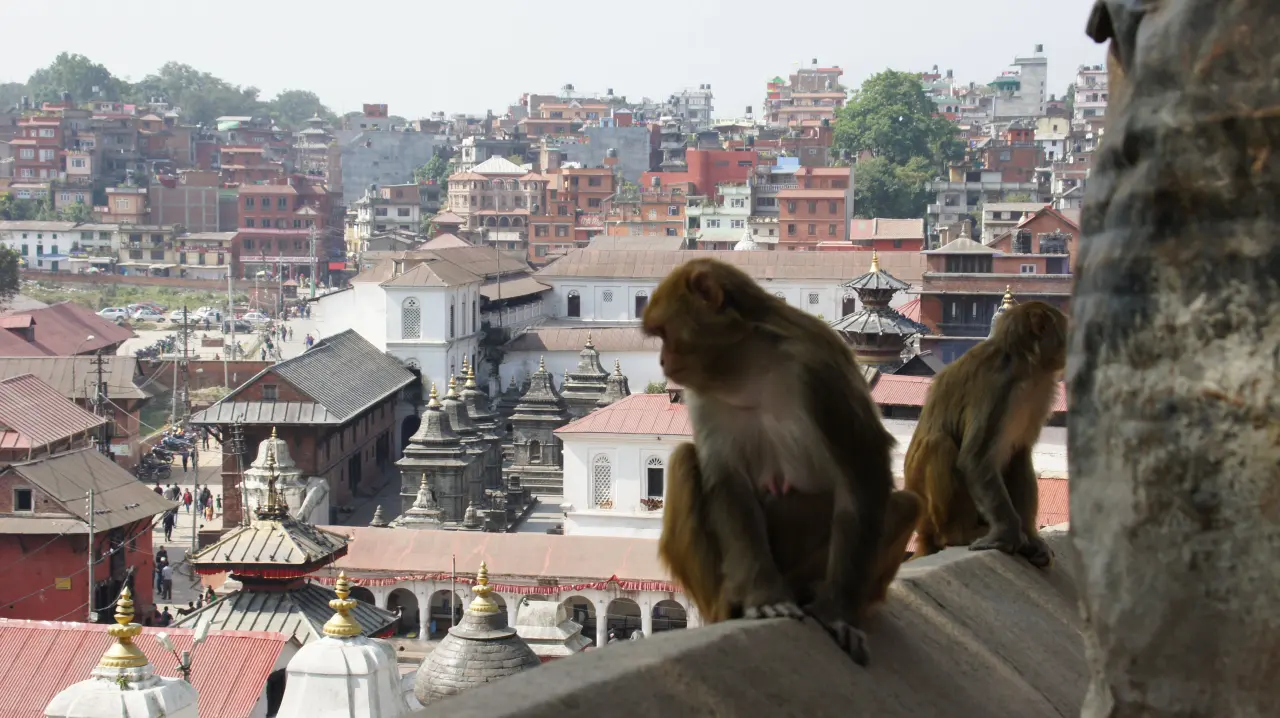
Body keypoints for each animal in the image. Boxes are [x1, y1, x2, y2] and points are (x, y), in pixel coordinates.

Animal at [642, 257, 909, 664]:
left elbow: (863, 467)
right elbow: (729, 482)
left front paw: (838, 611)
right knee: (686, 460)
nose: (661, 360)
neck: (750, 366)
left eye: (664, 334)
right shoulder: (701, 394)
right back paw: (729, 605)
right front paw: (764, 597)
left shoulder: (819, 368)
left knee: (906, 503)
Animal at [903, 300, 1068, 568]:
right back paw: (957, 533)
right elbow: (976, 458)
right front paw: (1007, 535)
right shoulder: (997, 387)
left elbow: (1019, 453)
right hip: (927, 514)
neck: (1025, 364)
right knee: (939, 444)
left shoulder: (1040, 392)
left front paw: (1031, 538)